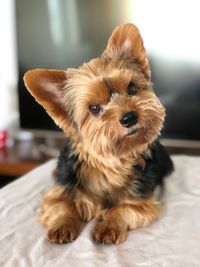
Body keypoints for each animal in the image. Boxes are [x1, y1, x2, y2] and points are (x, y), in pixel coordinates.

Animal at [23, 24, 173, 246]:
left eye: (132, 88)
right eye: (94, 108)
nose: (129, 117)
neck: (108, 163)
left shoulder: (142, 202)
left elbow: (122, 208)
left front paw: (109, 226)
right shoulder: (59, 192)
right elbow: (63, 205)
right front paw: (62, 225)